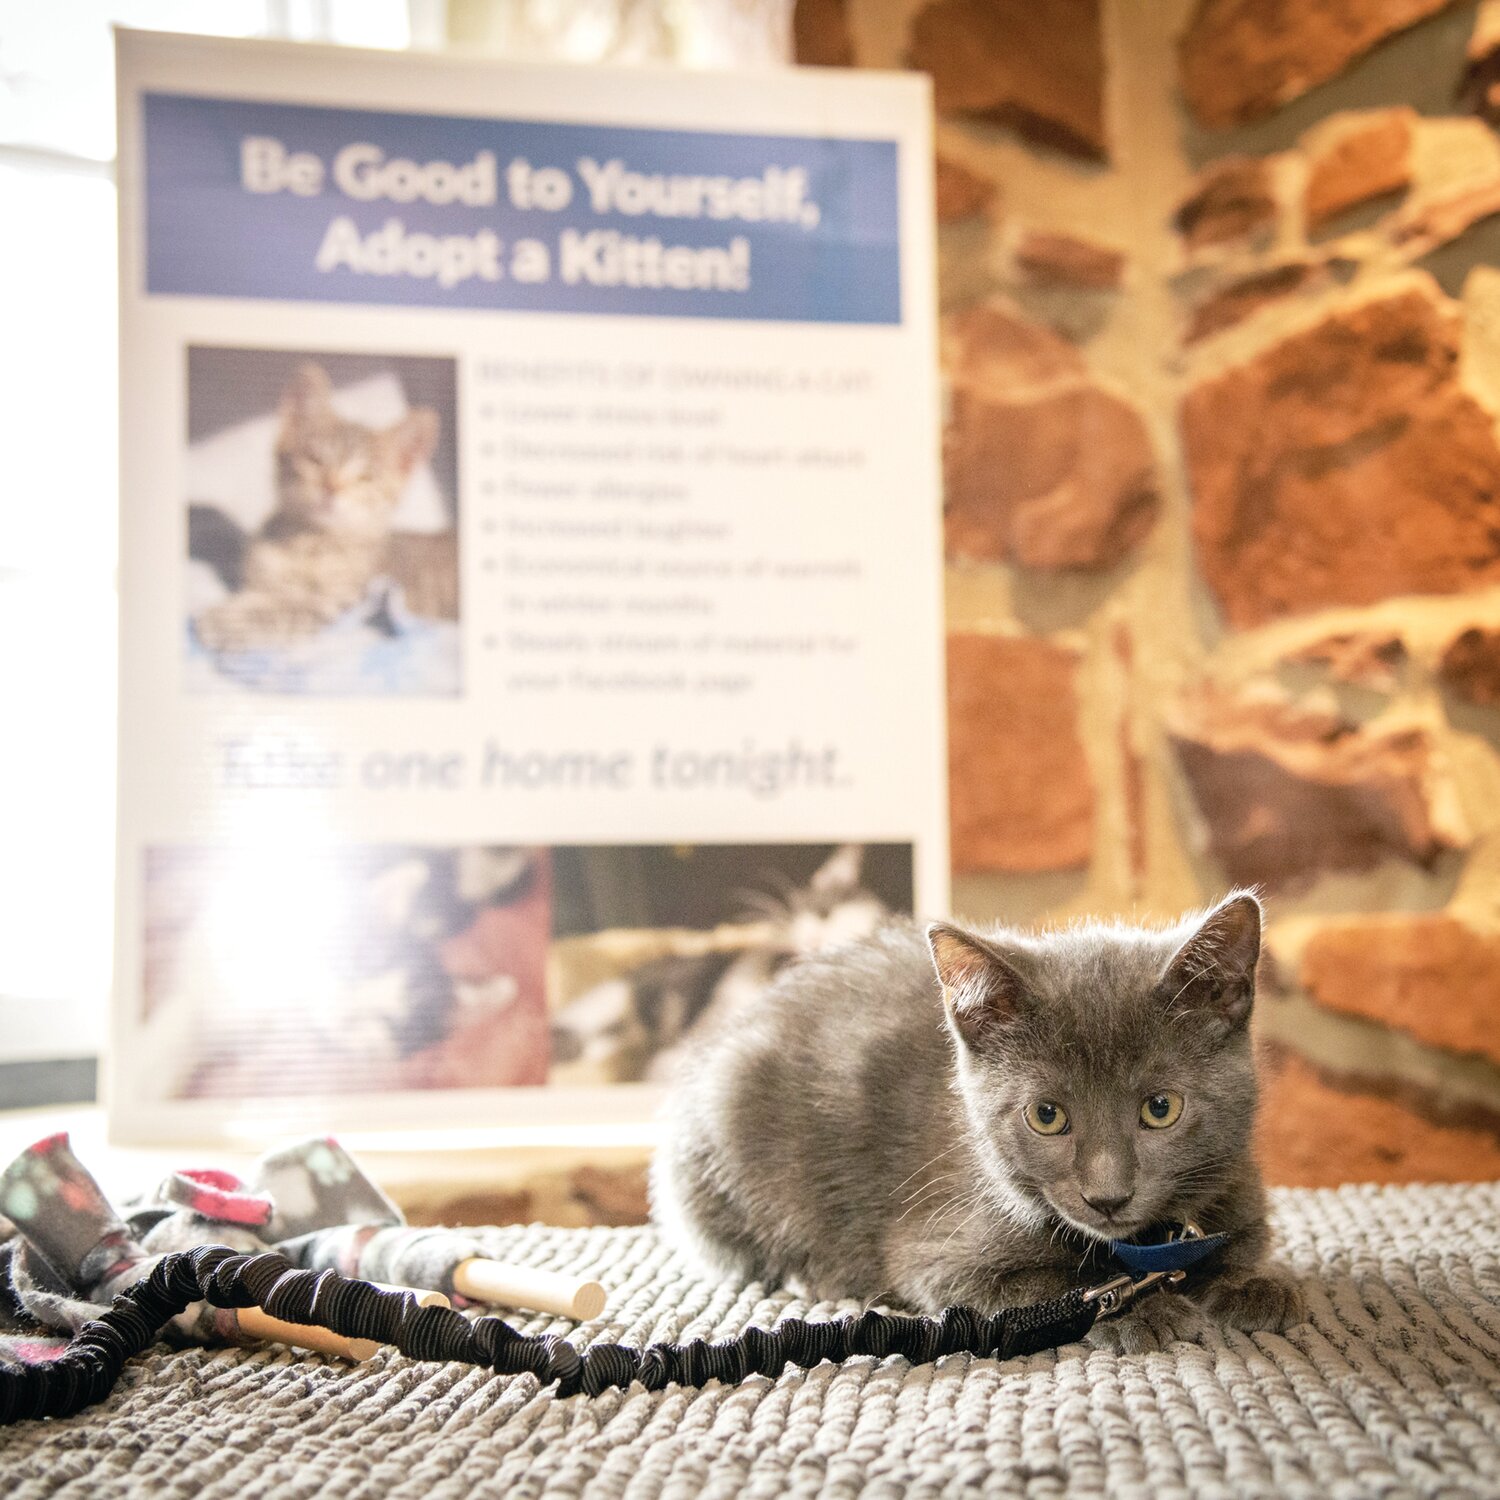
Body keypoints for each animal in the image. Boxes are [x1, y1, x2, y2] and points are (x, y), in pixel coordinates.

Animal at [654, 888, 1302, 1326]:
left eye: (1161, 1108)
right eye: (1047, 1116)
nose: (1107, 1196)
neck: (1144, 1244)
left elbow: (1241, 1244)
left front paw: (1253, 1285)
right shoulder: (939, 1254)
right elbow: (1059, 1284)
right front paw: (1141, 1309)